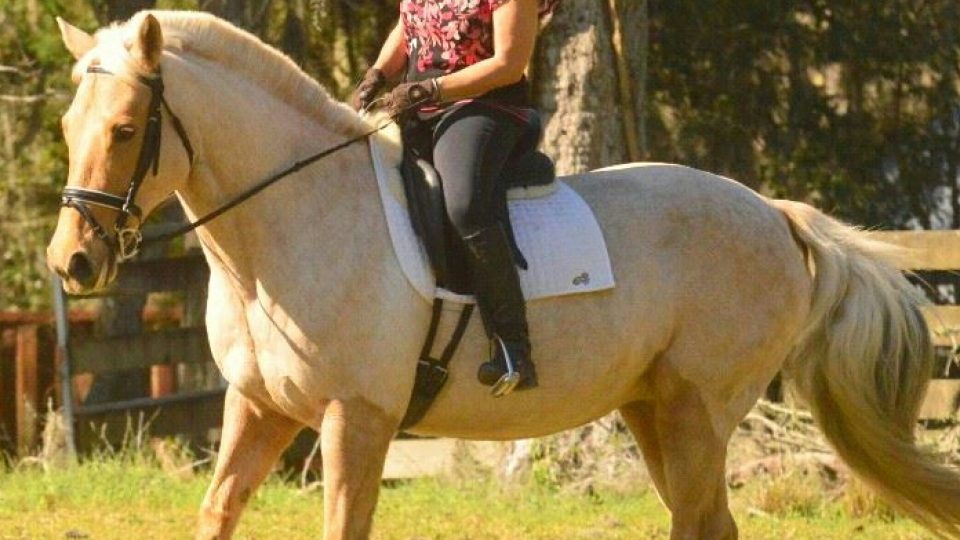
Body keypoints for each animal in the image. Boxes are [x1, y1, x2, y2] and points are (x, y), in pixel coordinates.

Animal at [46, 11, 960, 540]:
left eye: (124, 130)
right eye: (66, 125)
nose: (72, 261)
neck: (292, 223)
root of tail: (773, 212)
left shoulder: (357, 421)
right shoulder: (259, 407)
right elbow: (217, 512)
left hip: (699, 410)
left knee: (704, 521)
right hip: (654, 409)